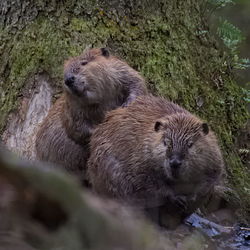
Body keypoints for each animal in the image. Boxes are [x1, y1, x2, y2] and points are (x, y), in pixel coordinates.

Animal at [36, 47, 147, 184]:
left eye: (84, 63)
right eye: (64, 72)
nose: (69, 79)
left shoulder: (121, 71)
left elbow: (136, 83)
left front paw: (126, 105)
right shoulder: (72, 108)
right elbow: (76, 128)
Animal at [87, 94, 224, 228]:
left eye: (190, 144)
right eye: (166, 142)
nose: (174, 163)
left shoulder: (213, 159)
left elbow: (208, 181)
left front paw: (190, 198)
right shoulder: (141, 157)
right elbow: (148, 182)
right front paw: (177, 199)